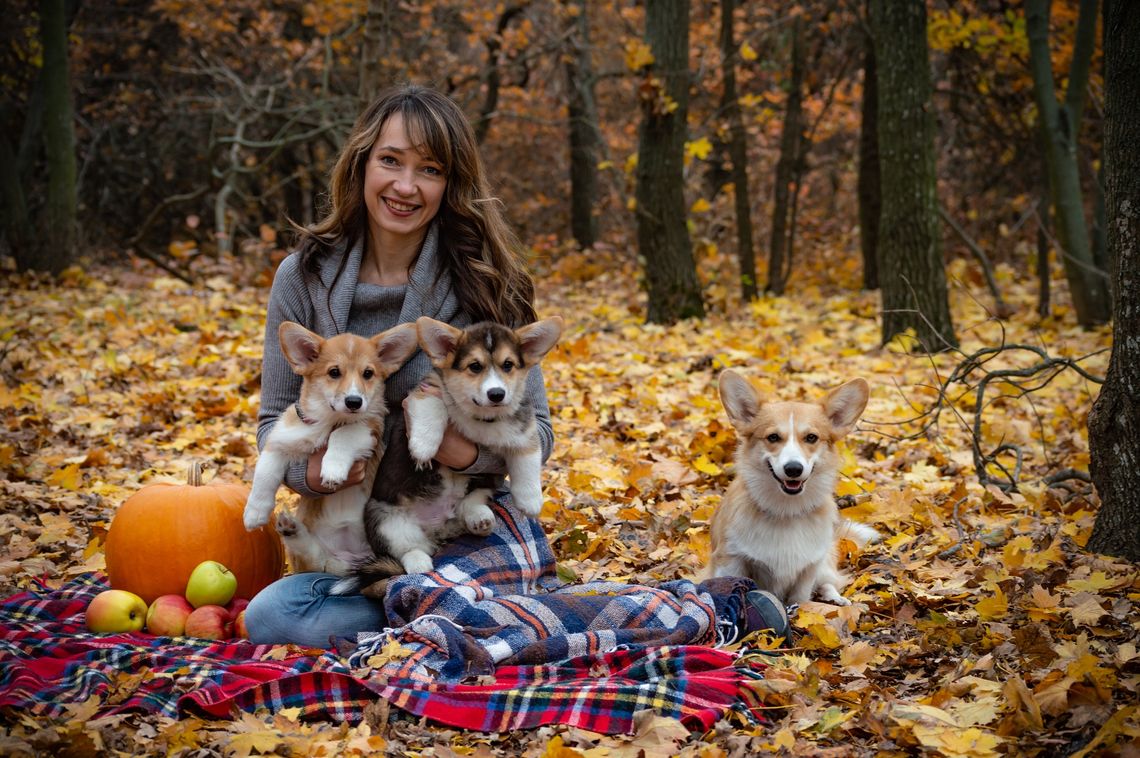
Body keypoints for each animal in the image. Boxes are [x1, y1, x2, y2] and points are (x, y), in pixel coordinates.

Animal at [243, 319, 419, 574]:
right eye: (334, 372)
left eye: (368, 374)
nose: (354, 402)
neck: (329, 420)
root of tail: (350, 560)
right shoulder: (280, 441)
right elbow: (265, 473)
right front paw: (254, 513)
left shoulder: (368, 428)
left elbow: (342, 435)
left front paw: (332, 470)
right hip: (316, 558)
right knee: (314, 557)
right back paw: (291, 530)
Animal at [330, 314, 560, 597]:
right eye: (474, 366)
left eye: (508, 365)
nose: (497, 394)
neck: (478, 416)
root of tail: (436, 528)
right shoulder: (424, 394)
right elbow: (435, 409)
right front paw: (423, 447)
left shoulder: (523, 427)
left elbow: (527, 459)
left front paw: (530, 500)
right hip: (383, 519)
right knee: (406, 550)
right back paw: (419, 563)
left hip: (484, 484)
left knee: (469, 502)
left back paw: (479, 518)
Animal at [702, 369, 880, 606]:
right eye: (773, 437)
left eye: (811, 437)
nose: (793, 469)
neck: (786, 510)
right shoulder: (730, 560)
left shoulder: (809, 566)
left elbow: (801, 599)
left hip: (824, 563)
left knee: (829, 581)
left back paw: (835, 599)